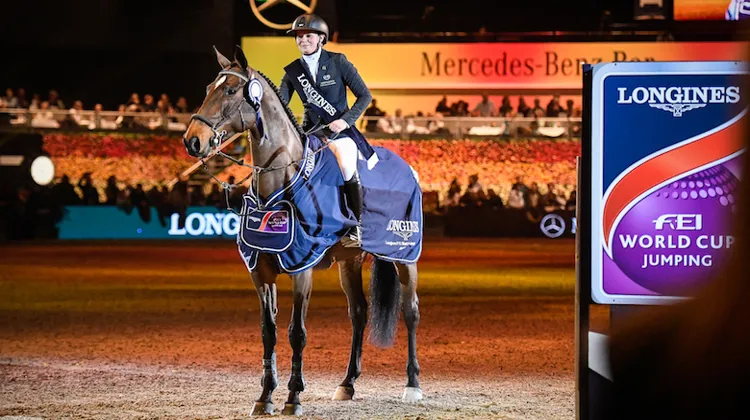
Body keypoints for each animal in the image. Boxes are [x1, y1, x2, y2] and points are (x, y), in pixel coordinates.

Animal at [181, 46, 422, 416]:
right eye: (209, 87)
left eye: (231, 91)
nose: (193, 141)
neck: (281, 178)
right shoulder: (261, 270)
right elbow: (268, 332)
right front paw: (265, 397)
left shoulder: (301, 268)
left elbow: (297, 332)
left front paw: (293, 397)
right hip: (349, 261)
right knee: (359, 313)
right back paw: (347, 384)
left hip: (404, 255)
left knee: (410, 312)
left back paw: (412, 385)